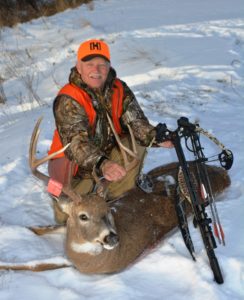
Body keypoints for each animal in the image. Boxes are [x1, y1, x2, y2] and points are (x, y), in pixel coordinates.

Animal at [0, 118, 231, 274]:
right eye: (83, 216)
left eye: (107, 210)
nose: (111, 237)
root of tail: (225, 174)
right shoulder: (64, 227)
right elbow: (36, 229)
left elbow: (35, 266)